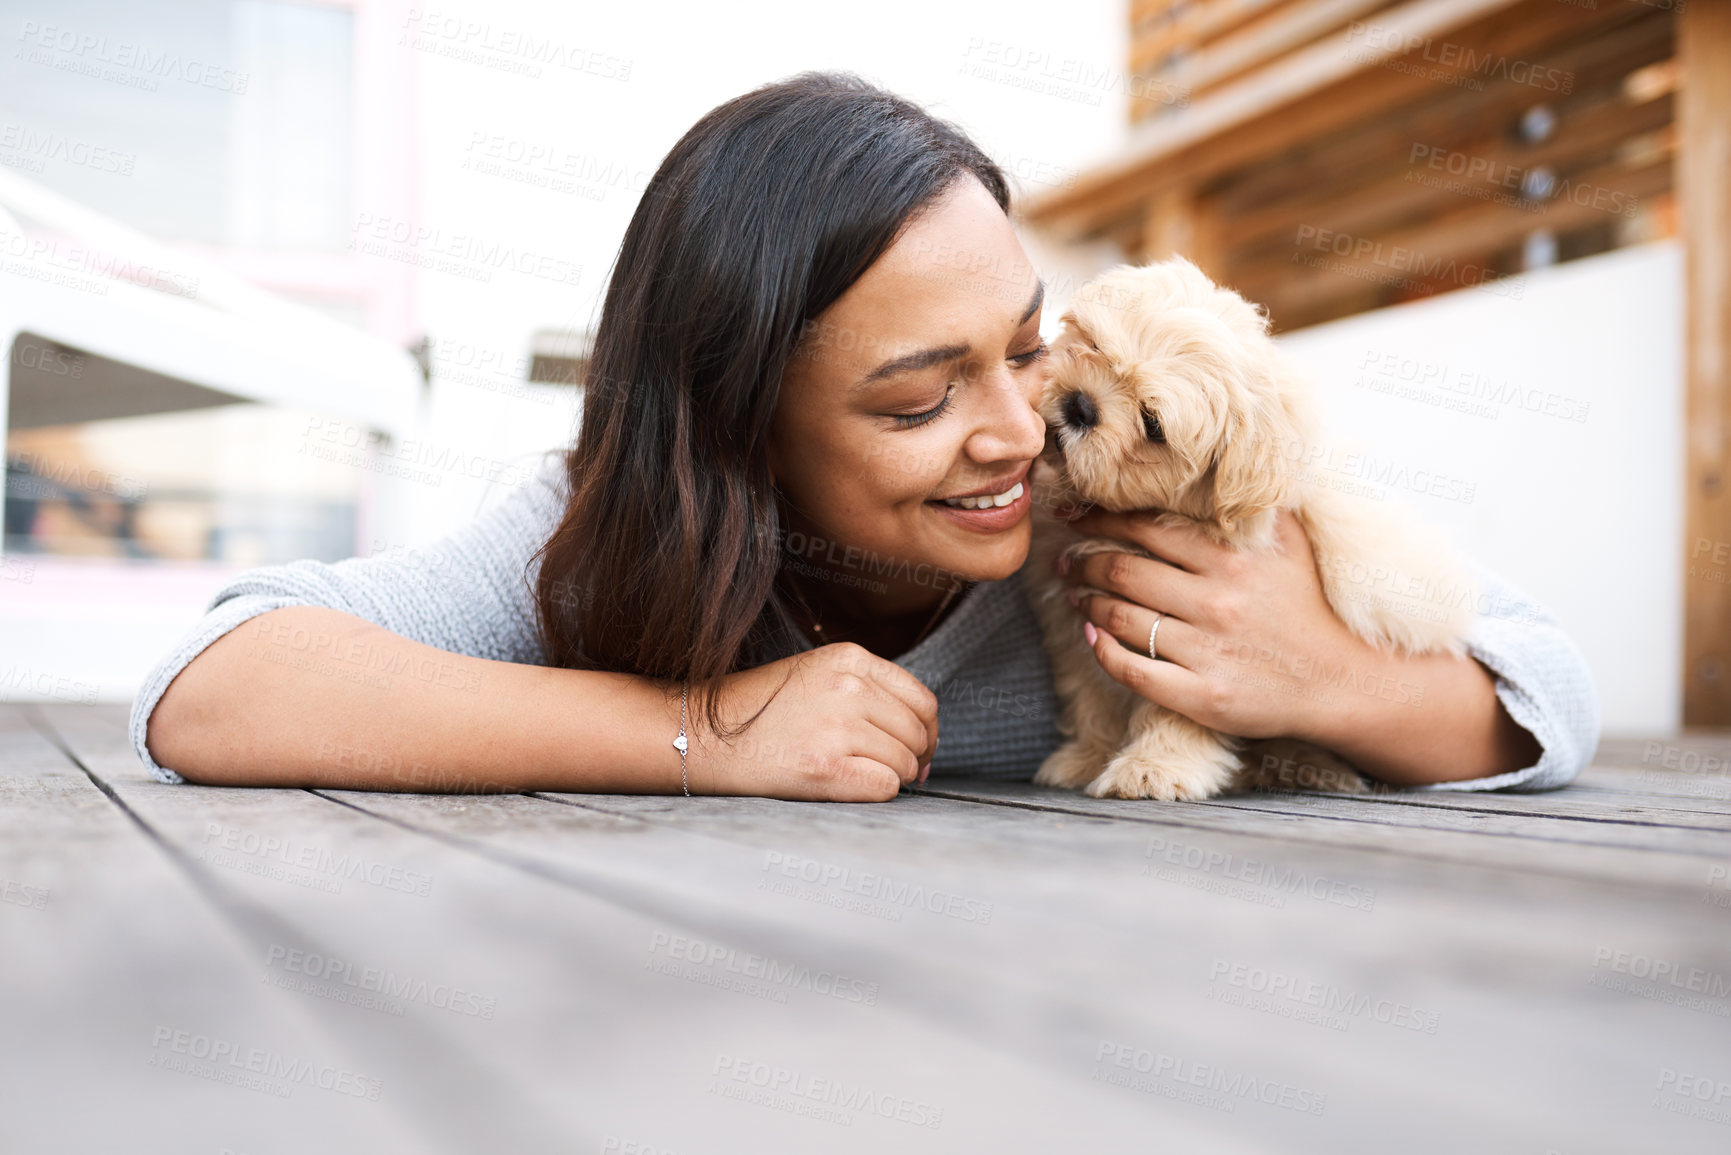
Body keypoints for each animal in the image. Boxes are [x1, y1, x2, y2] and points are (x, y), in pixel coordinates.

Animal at [1024, 258, 1474, 800]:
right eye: (1092, 345)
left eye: (1152, 425)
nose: (1081, 405)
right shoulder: (1071, 615)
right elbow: (1093, 693)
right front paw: (1089, 756)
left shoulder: (1190, 645)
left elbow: (1177, 703)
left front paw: (1156, 766)